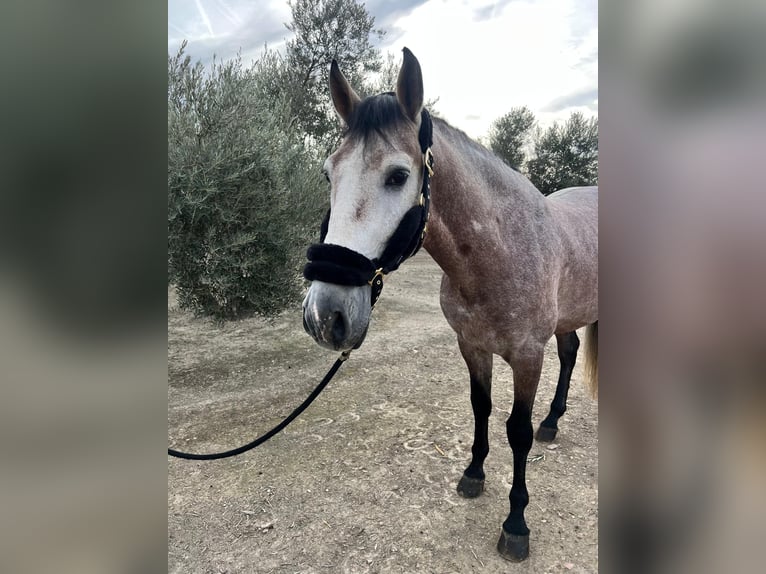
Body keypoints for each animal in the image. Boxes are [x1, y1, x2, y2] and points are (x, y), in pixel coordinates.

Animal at [302, 48, 598, 562]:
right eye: (328, 172)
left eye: (398, 176)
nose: (325, 316)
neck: (500, 251)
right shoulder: (472, 345)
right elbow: (481, 408)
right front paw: (473, 474)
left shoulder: (527, 355)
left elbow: (516, 431)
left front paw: (516, 524)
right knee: (570, 354)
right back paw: (553, 422)